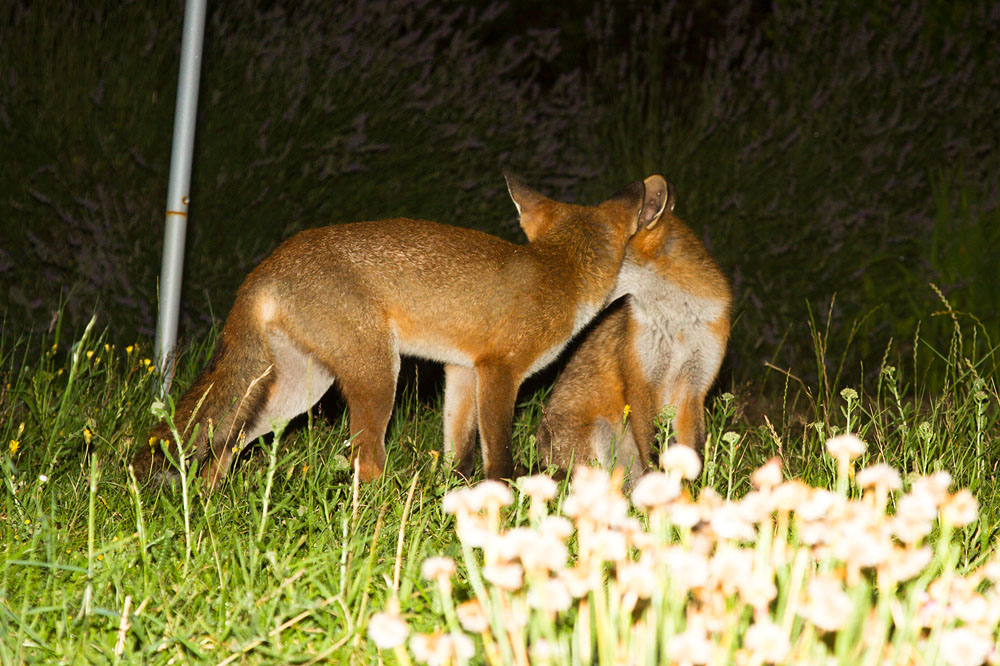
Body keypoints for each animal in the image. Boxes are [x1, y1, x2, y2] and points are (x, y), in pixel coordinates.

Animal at [133, 173, 671, 487]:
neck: (556, 271)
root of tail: (265, 267)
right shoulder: (500, 370)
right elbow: (497, 451)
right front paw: (503, 494)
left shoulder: (463, 369)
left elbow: (459, 447)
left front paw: (456, 491)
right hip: (376, 374)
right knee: (364, 459)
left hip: (294, 391)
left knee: (223, 445)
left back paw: (212, 506)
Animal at [534, 174, 731, 484]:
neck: (678, 324)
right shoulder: (641, 382)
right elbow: (654, 449)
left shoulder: (694, 386)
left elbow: (694, 453)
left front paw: (695, 490)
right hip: (601, 432)